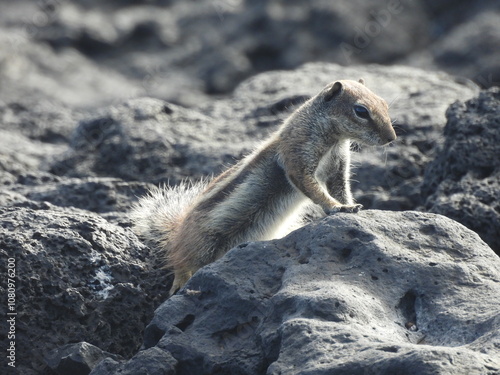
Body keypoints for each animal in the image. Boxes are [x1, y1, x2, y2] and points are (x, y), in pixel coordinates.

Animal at [131, 80, 396, 296]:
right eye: (361, 111)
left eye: (384, 103)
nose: (391, 138)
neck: (333, 140)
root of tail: (177, 231)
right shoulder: (297, 159)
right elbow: (312, 188)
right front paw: (336, 208)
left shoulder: (338, 168)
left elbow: (341, 189)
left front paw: (350, 205)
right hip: (201, 243)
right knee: (183, 260)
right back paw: (181, 280)